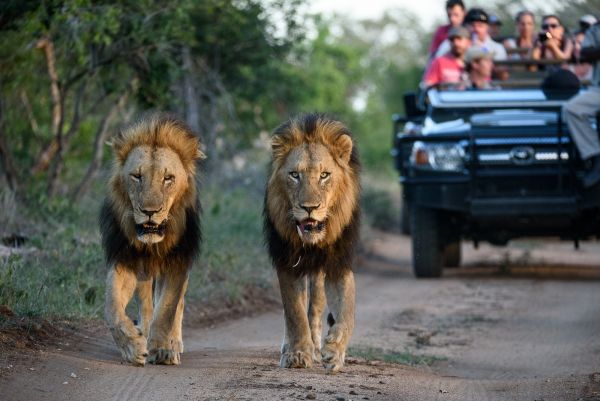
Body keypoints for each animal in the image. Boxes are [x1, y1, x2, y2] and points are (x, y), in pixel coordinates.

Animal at [99, 112, 205, 366]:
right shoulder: (125, 259)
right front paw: (133, 346)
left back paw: (173, 342)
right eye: (137, 176)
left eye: (168, 178)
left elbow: (167, 309)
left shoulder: (179, 261)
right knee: (146, 303)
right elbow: (112, 308)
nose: (149, 211)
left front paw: (163, 349)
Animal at [264, 111, 360, 372]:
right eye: (294, 175)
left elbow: (346, 312)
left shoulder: (338, 263)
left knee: (316, 304)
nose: (310, 208)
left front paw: (334, 350)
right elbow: (294, 313)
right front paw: (297, 354)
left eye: (324, 175)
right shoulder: (288, 262)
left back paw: (317, 346)